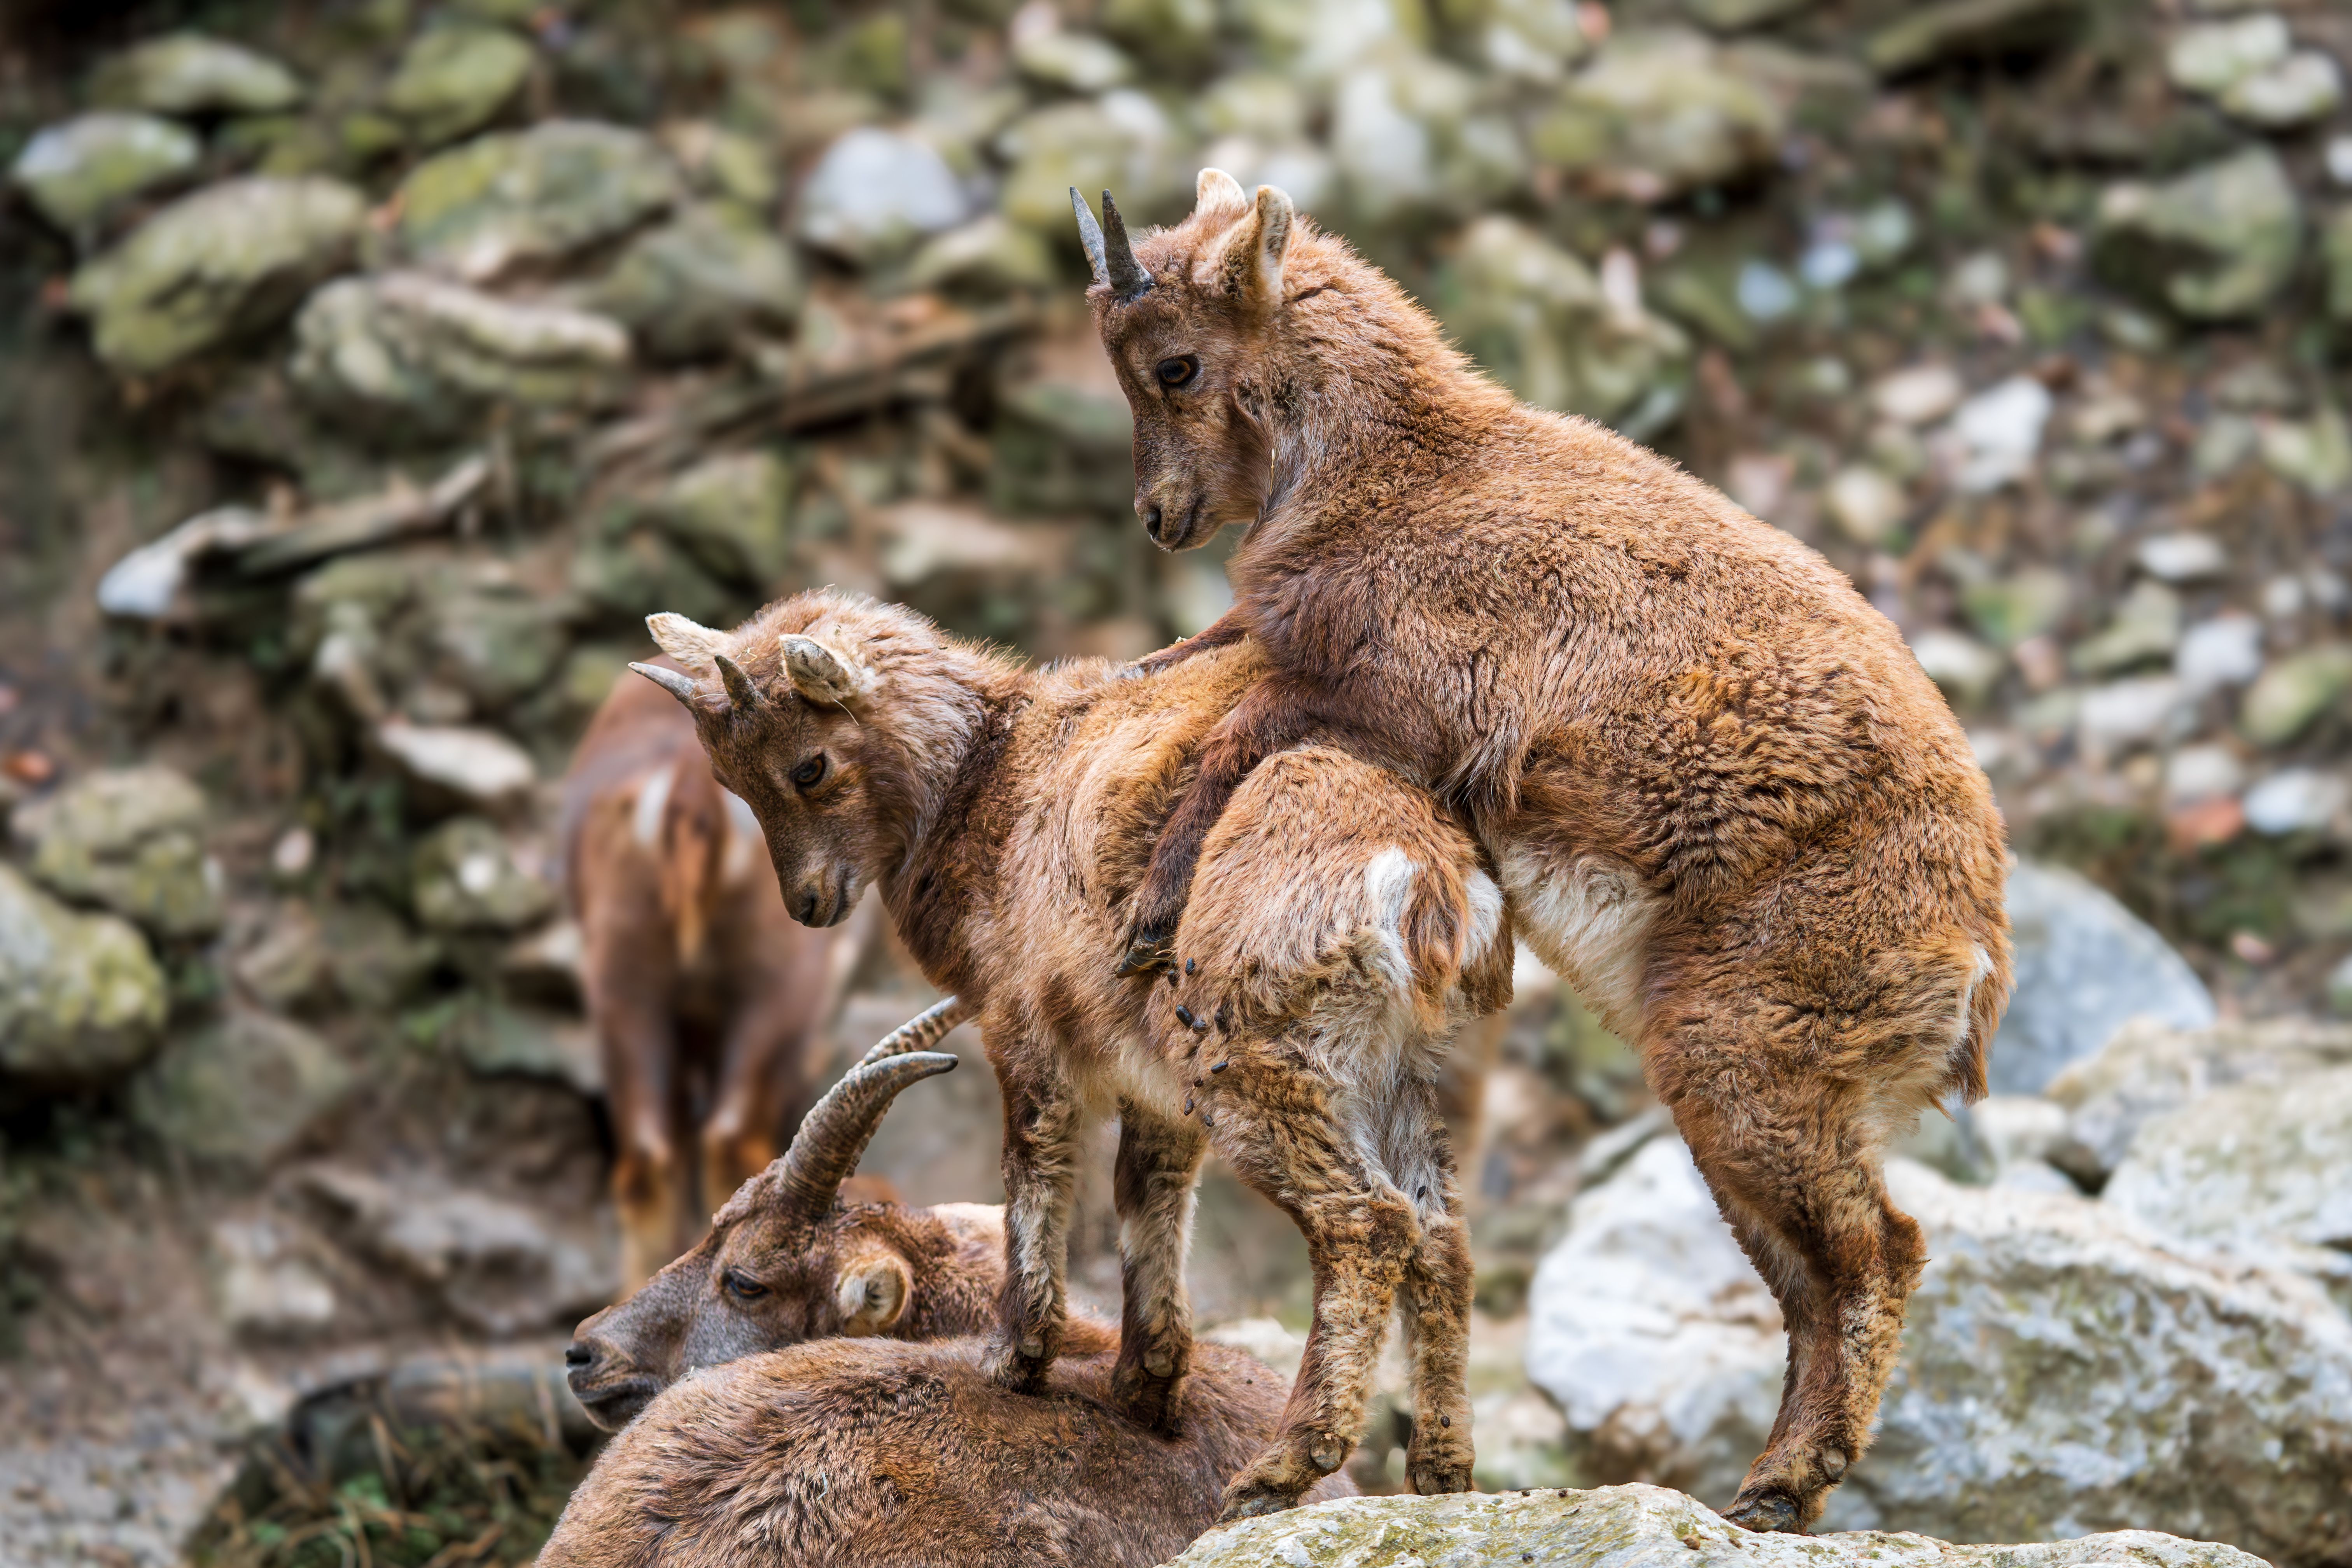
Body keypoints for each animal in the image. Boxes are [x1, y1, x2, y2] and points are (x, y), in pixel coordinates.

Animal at [631, 593, 1512, 1519]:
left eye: (808, 766)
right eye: (730, 778)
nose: (807, 904)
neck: (993, 780)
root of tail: (1417, 879)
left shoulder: (1025, 1030)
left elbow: (1034, 1169)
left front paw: (1014, 1358)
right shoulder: (1152, 1082)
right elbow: (1146, 1192)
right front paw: (1145, 1386)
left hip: (1260, 1062)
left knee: (1369, 1222)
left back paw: (1284, 1465)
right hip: (1404, 1069)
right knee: (1441, 1234)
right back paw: (1440, 1470)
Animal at [1066, 171, 2014, 1531]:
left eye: (1176, 364)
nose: (1159, 516)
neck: (1401, 474)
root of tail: (1976, 956)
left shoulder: (1390, 696)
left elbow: (1231, 738)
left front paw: (1152, 915)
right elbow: (1196, 658)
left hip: (1750, 1066)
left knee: (1882, 1249)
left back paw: (1785, 1486)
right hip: (1739, 1100)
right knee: (1805, 1278)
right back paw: (1766, 1487)